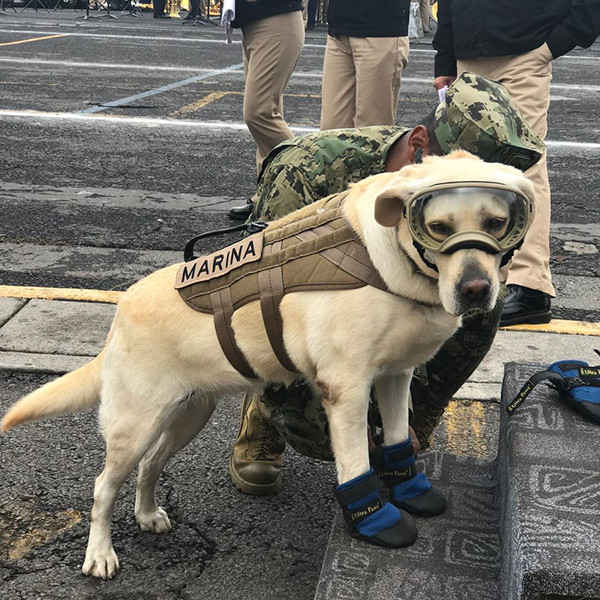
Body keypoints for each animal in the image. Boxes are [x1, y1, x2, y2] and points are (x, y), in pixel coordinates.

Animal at [0, 151, 536, 580]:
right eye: (439, 227)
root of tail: (120, 314)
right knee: (102, 487)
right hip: (133, 425)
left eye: (496, 222)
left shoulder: (394, 377)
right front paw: (375, 521)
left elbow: (399, 440)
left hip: (188, 414)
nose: (476, 290)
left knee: (151, 465)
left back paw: (149, 515)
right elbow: (357, 463)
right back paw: (100, 554)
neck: (391, 262)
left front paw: (410, 489)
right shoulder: (345, 388)